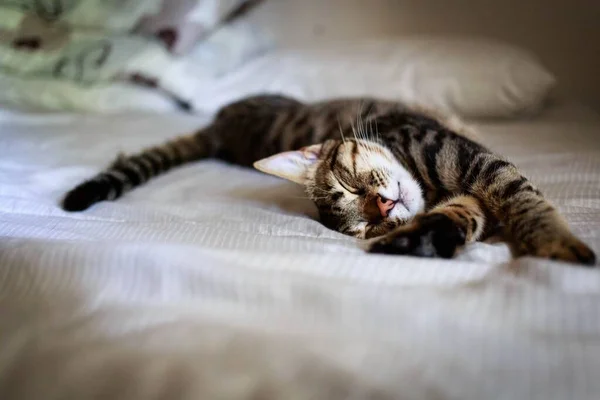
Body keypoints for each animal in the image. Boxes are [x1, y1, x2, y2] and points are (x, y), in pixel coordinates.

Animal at [61, 94, 596, 266]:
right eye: (363, 223)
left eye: (349, 183)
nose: (383, 207)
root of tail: (218, 132)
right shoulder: (469, 192)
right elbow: (463, 215)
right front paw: (413, 239)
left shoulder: (472, 160)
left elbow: (521, 197)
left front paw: (556, 242)